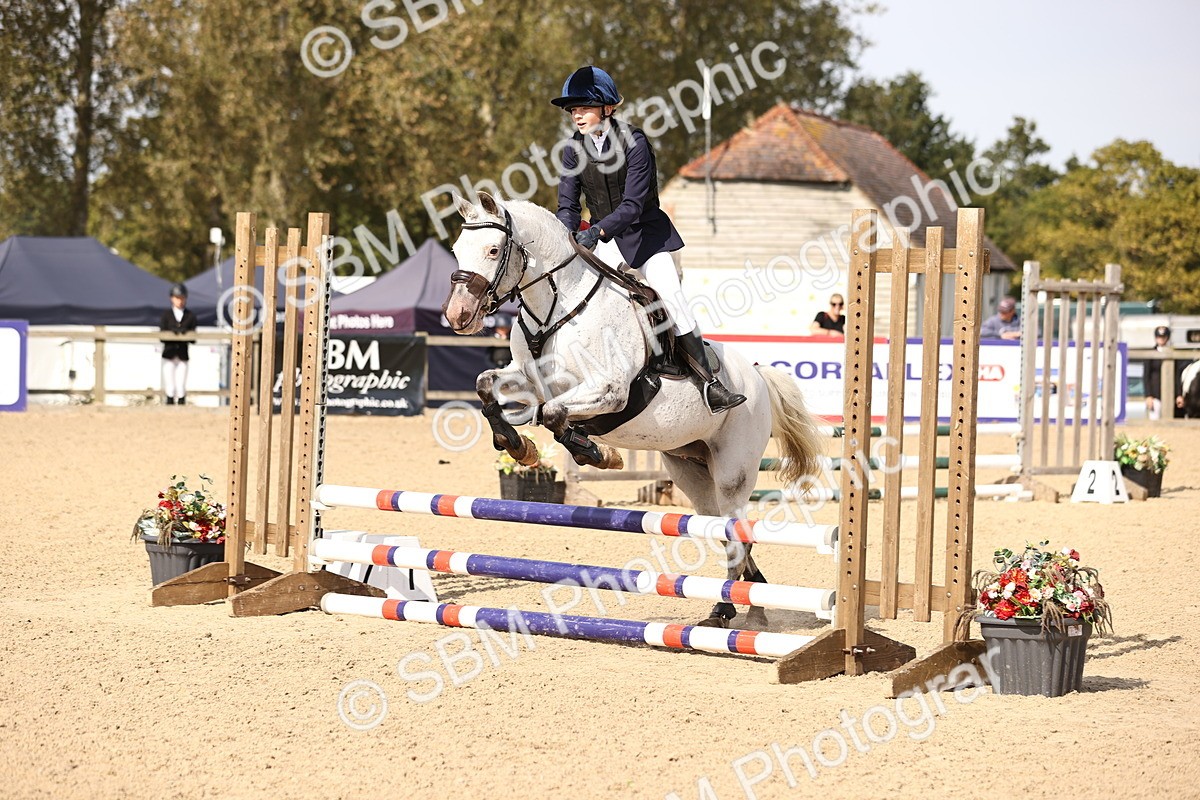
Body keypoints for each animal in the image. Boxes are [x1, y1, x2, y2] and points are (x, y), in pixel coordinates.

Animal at [442, 192, 823, 628]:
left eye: (493, 250)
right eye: (456, 249)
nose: (457, 316)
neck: (556, 309)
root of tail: (758, 375)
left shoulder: (609, 392)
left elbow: (554, 414)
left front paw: (598, 454)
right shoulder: (527, 381)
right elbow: (487, 385)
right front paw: (519, 445)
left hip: (733, 469)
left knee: (736, 527)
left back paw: (735, 609)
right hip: (690, 468)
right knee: (722, 529)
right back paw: (741, 603)